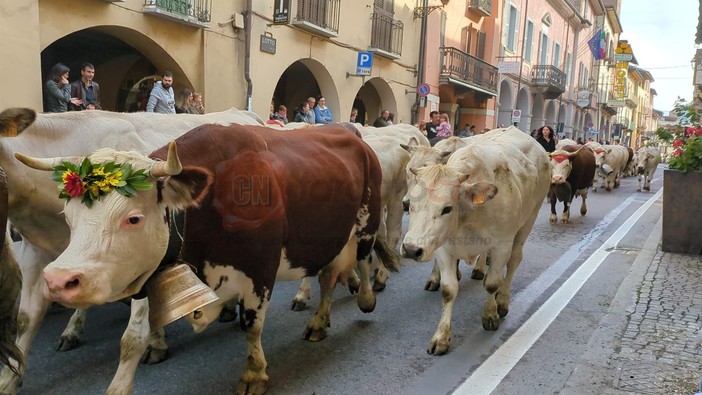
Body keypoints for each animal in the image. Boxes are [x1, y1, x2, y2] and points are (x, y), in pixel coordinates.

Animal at [16, 124, 398, 395]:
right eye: (68, 216)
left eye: (133, 218)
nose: (58, 281)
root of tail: (349, 132)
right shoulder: (150, 271)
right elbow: (131, 340)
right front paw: (122, 380)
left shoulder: (260, 268)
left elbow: (251, 325)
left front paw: (254, 374)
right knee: (327, 277)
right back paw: (319, 321)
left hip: (365, 223)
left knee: (361, 262)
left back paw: (365, 298)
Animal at [402, 127, 552, 356]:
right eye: (413, 205)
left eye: (447, 208)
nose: (410, 249)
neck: (468, 213)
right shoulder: (444, 249)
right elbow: (449, 290)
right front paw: (441, 337)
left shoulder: (501, 246)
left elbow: (492, 283)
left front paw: (490, 314)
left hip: (528, 220)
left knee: (514, 261)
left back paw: (502, 300)